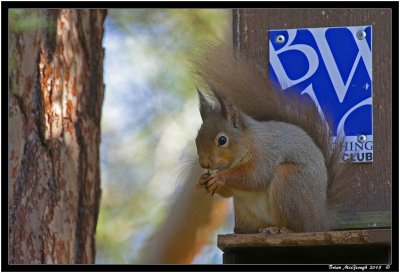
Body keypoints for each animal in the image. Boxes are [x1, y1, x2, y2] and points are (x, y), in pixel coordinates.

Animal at [192, 43, 352, 233]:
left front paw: (220, 177)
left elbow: (254, 176)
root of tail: (321, 219)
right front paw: (203, 180)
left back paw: (282, 230)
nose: (204, 164)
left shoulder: (264, 154)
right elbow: (230, 191)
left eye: (222, 140)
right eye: (196, 139)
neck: (248, 142)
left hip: (289, 182)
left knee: (300, 227)